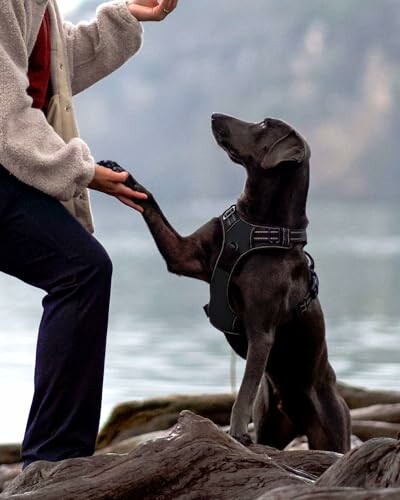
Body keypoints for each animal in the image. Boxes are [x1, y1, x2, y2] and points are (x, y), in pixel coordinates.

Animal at [100, 114, 350, 454]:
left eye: (263, 124)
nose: (214, 116)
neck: (257, 225)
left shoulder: (261, 333)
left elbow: (244, 390)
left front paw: (236, 432)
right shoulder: (184, 256)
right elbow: (152, 205)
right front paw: (121, 175)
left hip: (333, 430)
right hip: (271, 424)